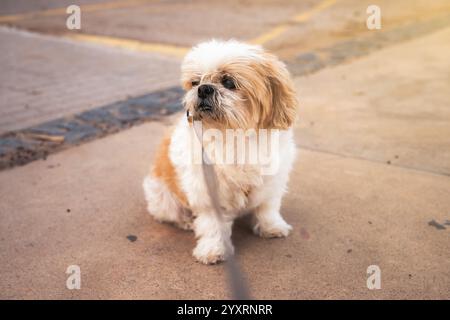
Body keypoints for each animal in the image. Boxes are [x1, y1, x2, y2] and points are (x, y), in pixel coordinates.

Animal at [143, 39, 298, 264]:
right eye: (195, 82)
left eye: (228, 82)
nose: (204, 89)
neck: (233, 135)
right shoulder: (207, 194)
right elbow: (212, 225)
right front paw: (213, 248)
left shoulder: (271, 184)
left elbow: (267, 208)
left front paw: (271, 227)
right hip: (163, 198)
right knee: (170, 214)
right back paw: (186, 221)